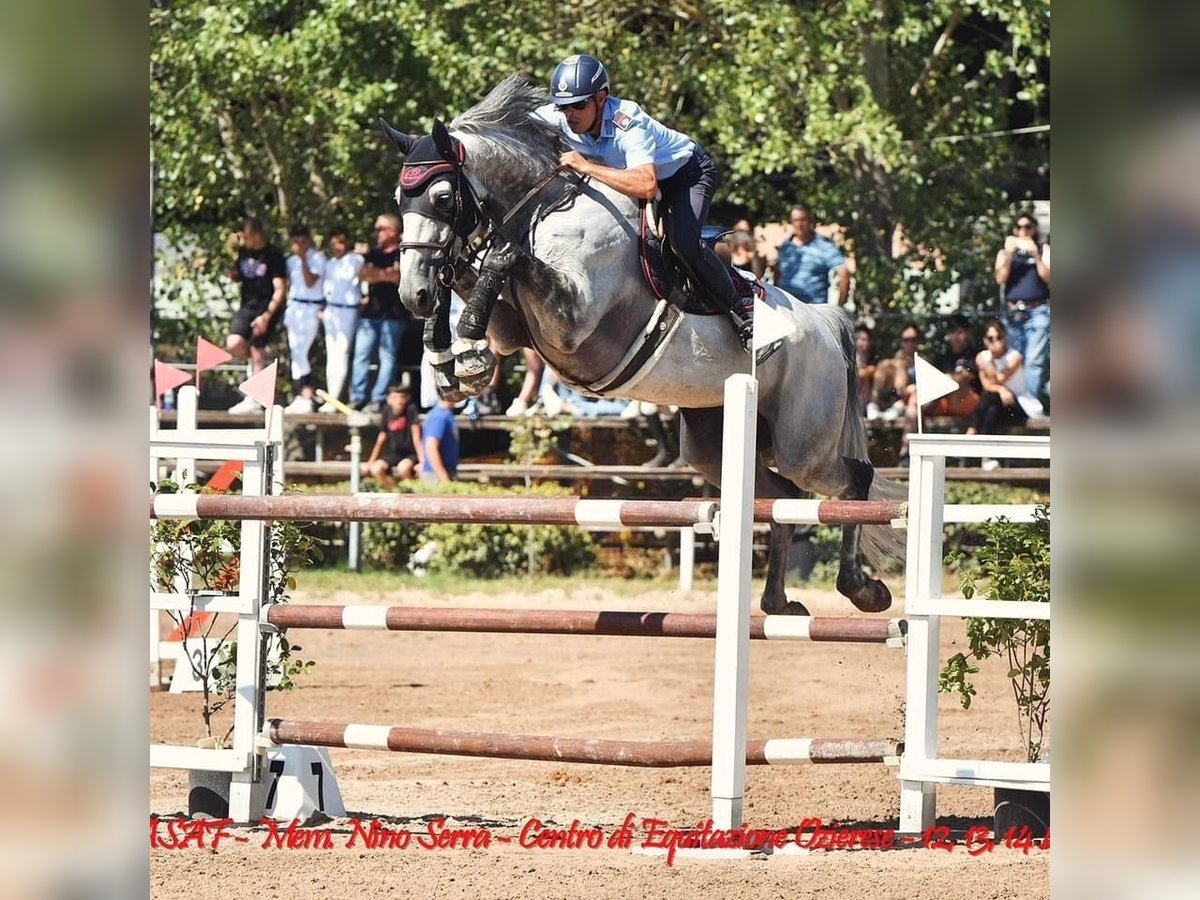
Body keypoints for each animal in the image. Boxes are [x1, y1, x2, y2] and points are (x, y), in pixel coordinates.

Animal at [384, 75, 902, 614]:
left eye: (443, 197)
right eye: (400, 200)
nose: (411, 294)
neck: (545, 211)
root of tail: (822, 320)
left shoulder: (572, 323)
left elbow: (505, 259)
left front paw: (465, 355)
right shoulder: (516, 329)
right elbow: (471, 277)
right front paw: (448, 356)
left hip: (805, 440)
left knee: (853, 479)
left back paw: (862, 589)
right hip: (713, 440)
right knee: (782, 497)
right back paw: (779, 603)